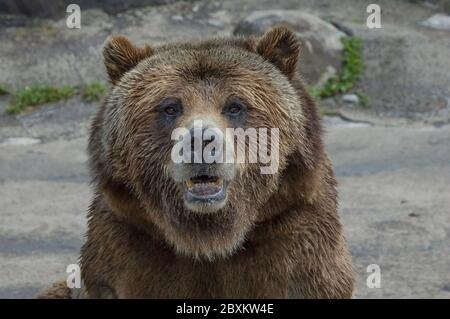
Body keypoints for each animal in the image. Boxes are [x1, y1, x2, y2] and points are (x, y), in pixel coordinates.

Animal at [37, 26, 356, 298]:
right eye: (169, 107)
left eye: (235, 106)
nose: (200, 142)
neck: (208, 239)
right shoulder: (126, 243)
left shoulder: (292, 231)